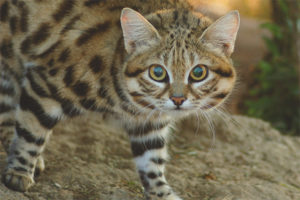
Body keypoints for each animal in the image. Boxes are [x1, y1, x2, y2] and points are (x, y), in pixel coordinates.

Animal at [0, 0, 239, 199]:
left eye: (198, 72)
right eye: (158, 72)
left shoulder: (149, 124)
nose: (178, 99)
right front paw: (19, 172)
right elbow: (31, 133)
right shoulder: (45, 83)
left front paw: (162, 193)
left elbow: (152, 161)